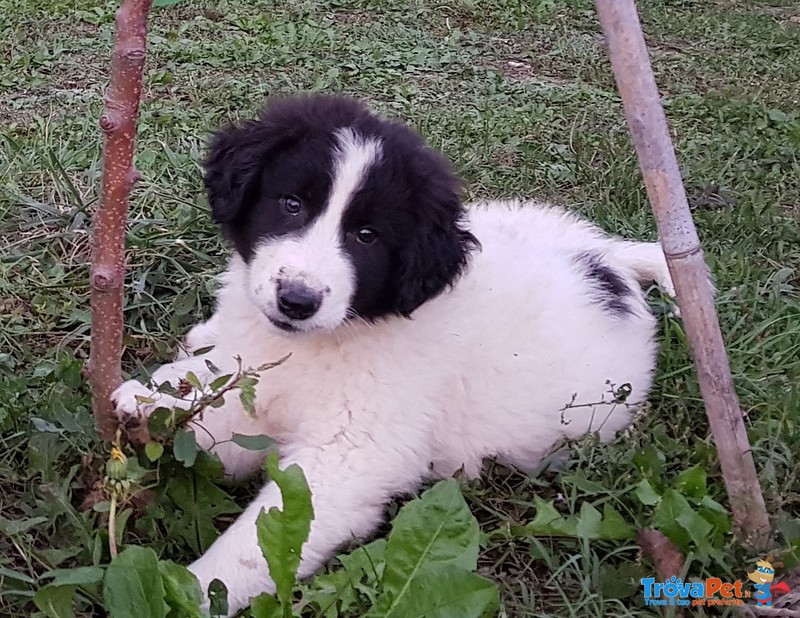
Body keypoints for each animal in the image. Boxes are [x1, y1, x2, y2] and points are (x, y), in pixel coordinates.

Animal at [112, 95, 676, 612]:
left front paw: (200, 589)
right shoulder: (258, 373)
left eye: (367, 236)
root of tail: (610, 262)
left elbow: (262, 539)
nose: (297, 300)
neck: (336, 334)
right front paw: (150, 397)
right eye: (292, 204)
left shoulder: (349, 455)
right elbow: (214, 388)